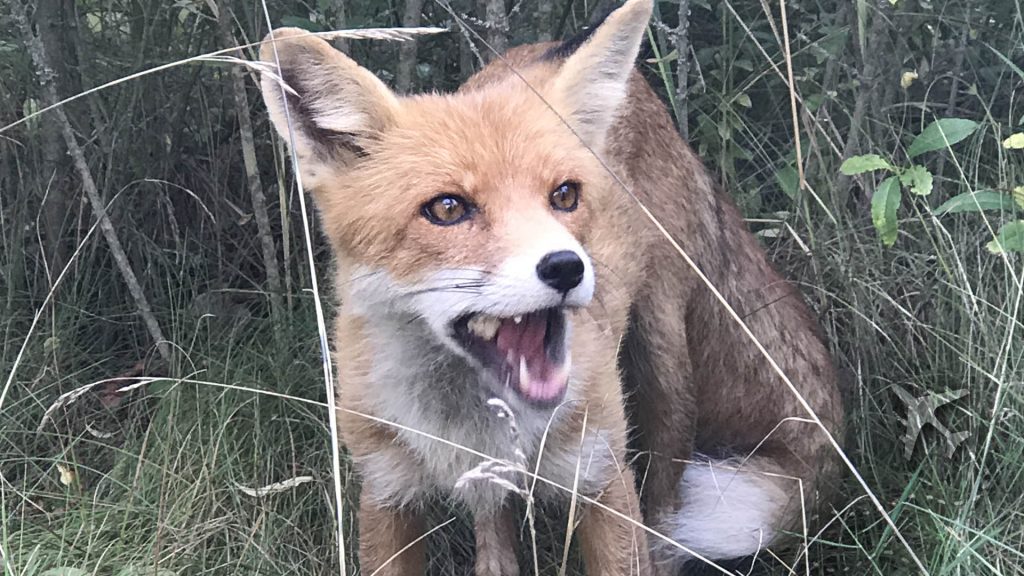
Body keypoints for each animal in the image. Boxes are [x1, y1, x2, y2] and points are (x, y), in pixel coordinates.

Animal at [258, 0, 847, 569]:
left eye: (564, 195)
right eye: (447, 208)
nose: (566, 267)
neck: (468, 425)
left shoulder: (602, 479)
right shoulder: (386, 493)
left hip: (662, 364)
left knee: (666, 503)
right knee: (494, 525)